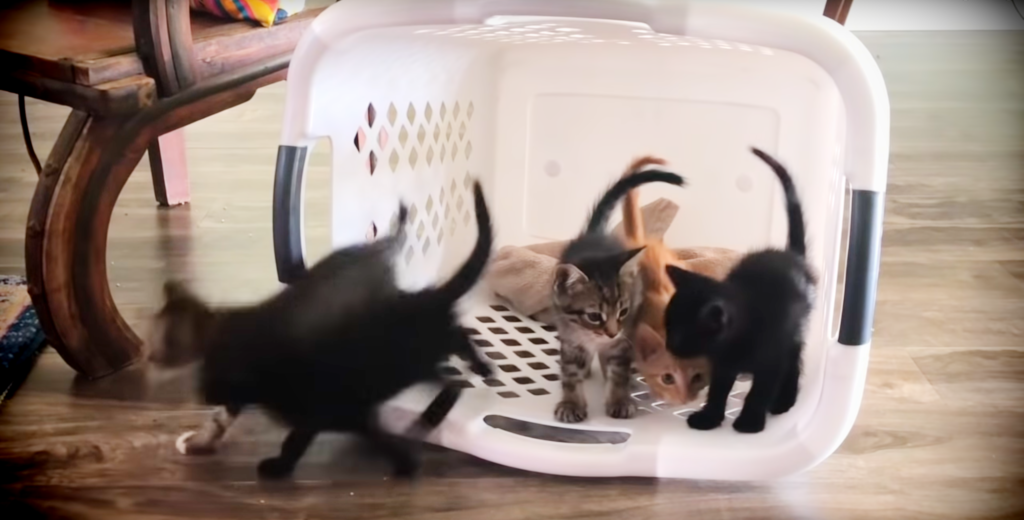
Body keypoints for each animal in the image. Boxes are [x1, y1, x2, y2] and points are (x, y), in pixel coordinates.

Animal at [149, 181, 495, 477]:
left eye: (164, 340)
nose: (148, 356)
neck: (221, 326)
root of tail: (377, 247)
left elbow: (289, 435)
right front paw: (200, 441)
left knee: (457, 346)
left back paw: (479, 370)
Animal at [548, 167, 684, 421]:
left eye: (623, 311)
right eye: (594, 316)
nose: (611, 333)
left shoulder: (623, 340)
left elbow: (618, 373)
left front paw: (619, 400)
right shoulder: (571, 339)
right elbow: (571, 374)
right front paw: (571, 403)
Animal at [663, 149, 815, 434]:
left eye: (681, 333)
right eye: (666, 326)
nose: (669, 346)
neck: (734, 344)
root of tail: (792, 257)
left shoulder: (771, 359)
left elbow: (759, 391)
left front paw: (750, 421)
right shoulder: (722, 364)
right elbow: (718, 390)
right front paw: (709, 417)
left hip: (793, 332)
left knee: (794, 363)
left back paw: (783, 401)